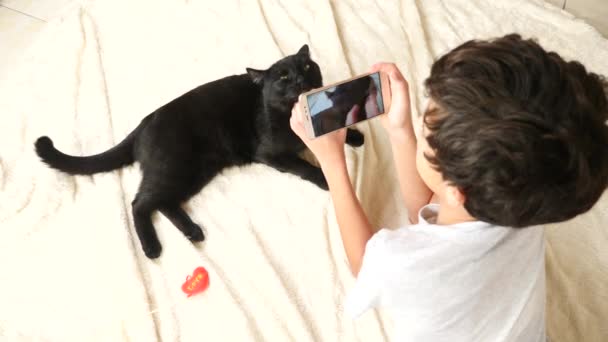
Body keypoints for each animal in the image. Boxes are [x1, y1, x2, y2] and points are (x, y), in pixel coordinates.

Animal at [34, 46, 360, 260]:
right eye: (282, 77)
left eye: (306, 67)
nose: (301, 80)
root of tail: (143, 124)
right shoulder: (270, 155)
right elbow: (304, 167)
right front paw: (325, 179)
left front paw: (355, 136)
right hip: (175, 166)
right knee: (140, 202)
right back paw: (152, 248)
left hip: (194, 172)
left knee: (161, 202)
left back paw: (192, 231)